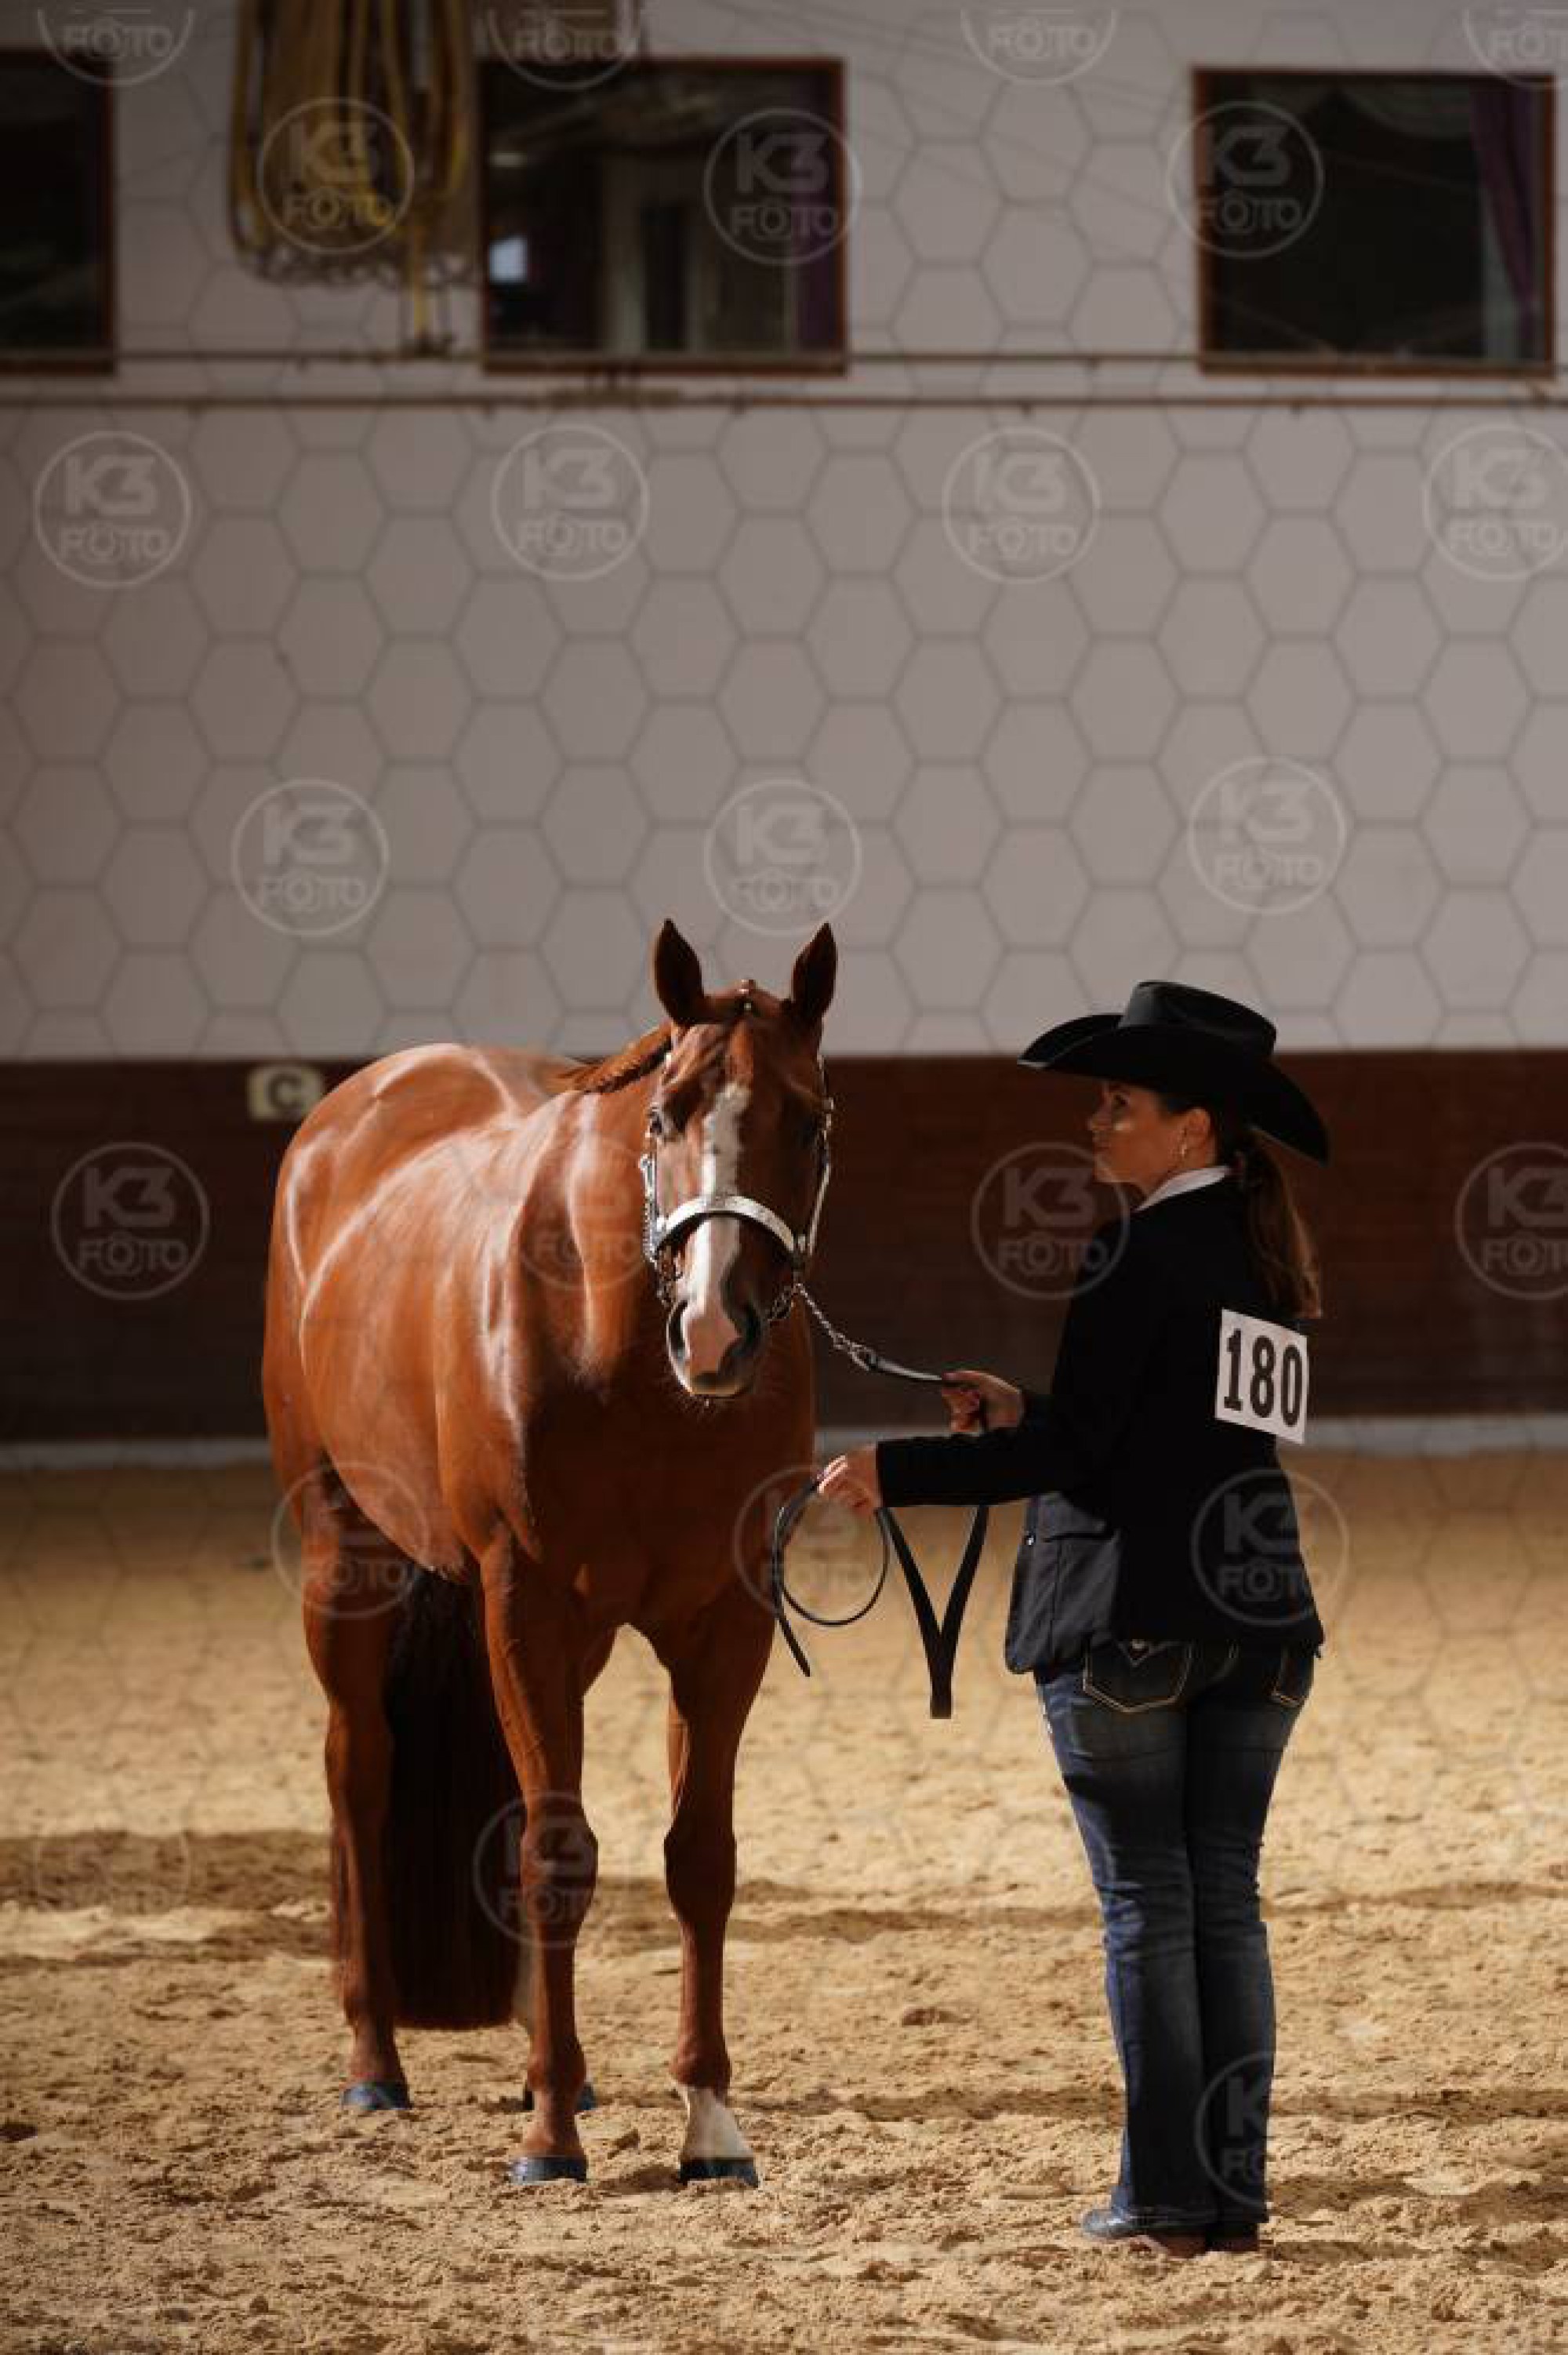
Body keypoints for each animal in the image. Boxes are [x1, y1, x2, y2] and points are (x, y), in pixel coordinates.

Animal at [261, 918, 839, 2184]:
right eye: (666, 1116)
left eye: (809, 1120)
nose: (714, 1332)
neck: (621, 1349)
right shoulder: (524, 1602)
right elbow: (559, 1849)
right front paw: (550, 2132)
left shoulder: (722, 1621)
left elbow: (698, 1856)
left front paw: (706, 2118)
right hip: (346, 1560)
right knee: (358, 1770)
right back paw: (376, 2058)